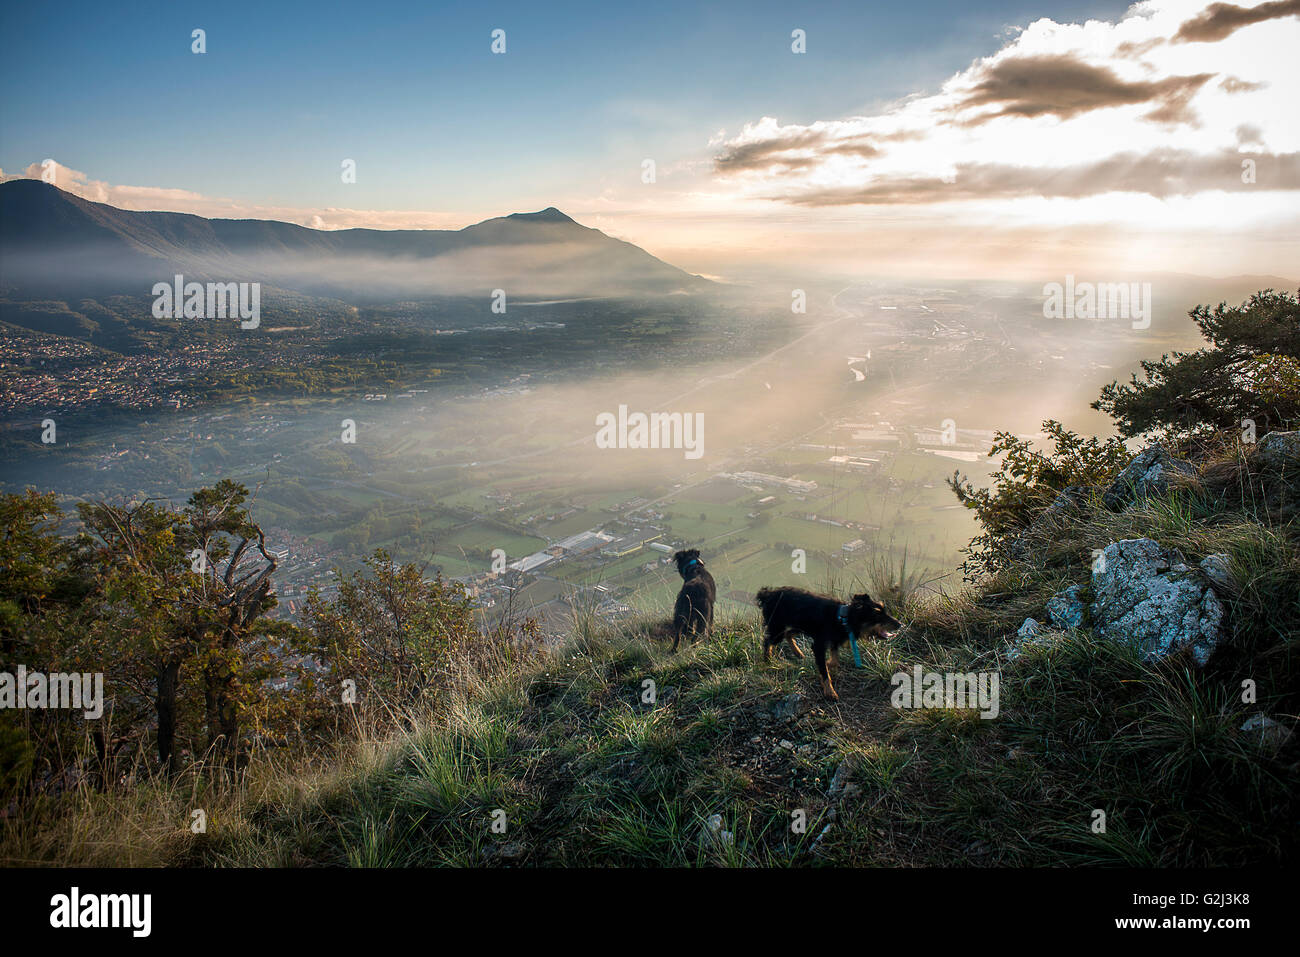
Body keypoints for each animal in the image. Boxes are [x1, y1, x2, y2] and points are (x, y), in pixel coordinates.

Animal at [759, 587, 899, 696]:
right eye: (877, 615)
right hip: (777, 630)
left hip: (800, 627)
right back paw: (767, 660)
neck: (842, 619)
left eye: (884, 610)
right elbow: (825, 670)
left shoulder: (833, 641)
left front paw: (827, 664)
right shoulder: (819, 645)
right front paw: (830, 691)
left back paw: (798, 653)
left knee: (788, 634)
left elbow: (834, 660)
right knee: (767, 641)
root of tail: (767, 594)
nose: (900, 624)